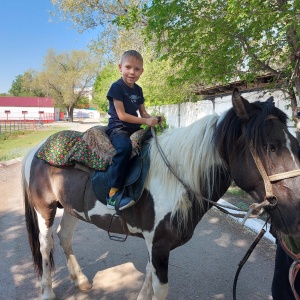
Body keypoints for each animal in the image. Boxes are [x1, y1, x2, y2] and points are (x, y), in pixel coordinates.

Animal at [22, 89, 300, 300]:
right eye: (270, 147)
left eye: (295, 144)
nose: (295, 216)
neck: (176, 179)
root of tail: (35, 151)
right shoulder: (158, 245)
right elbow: (159, 288)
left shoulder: (154, 243)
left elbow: (148, 281)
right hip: (45, 209)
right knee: (46, 244)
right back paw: (47, 292)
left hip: (72, 208)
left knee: (64, 236)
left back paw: (80, 280)